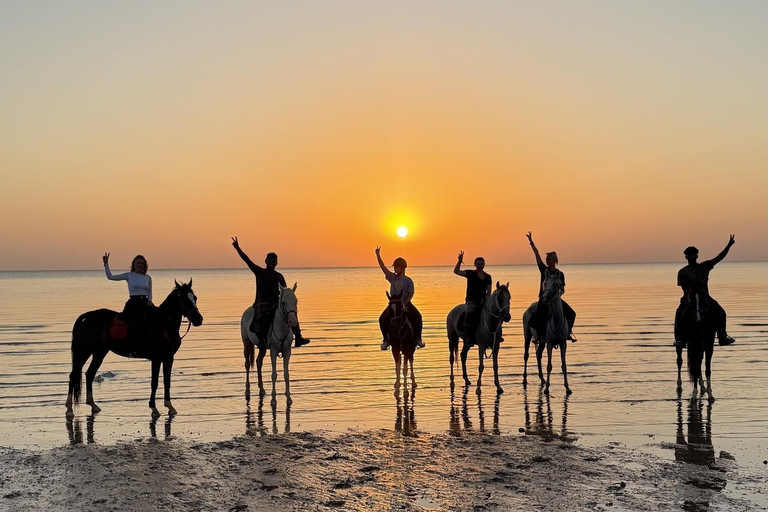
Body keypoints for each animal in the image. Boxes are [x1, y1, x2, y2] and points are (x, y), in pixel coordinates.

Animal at [66, 280, 203, 418]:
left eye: (195, 298)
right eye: (185, 299)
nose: (199, 319)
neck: (164, 325)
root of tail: (88, 316)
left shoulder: (169, 358)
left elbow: (167, 382)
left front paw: (170, 406)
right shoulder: (156, 358)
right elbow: (154, 382)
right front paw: (153, 408)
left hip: (100, 352)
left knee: (90, 374)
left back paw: (93, 405)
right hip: (85, 350)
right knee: (74, 374)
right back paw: (69, 409)